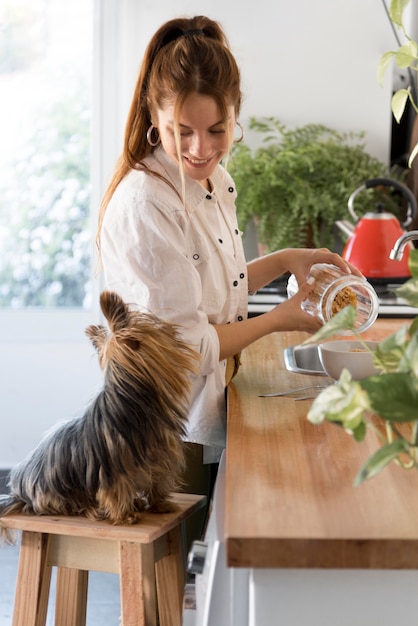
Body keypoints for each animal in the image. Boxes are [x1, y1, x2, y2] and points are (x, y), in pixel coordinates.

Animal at [0, 292, 198, 540]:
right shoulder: (113, 470)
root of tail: (18, 492)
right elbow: (116, 490)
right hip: (55, 493)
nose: (170, 326)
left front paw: (160, 504)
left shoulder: (160, 456)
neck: (131, 398)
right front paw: (125, 516)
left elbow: (158, 480)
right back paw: (95, 509)